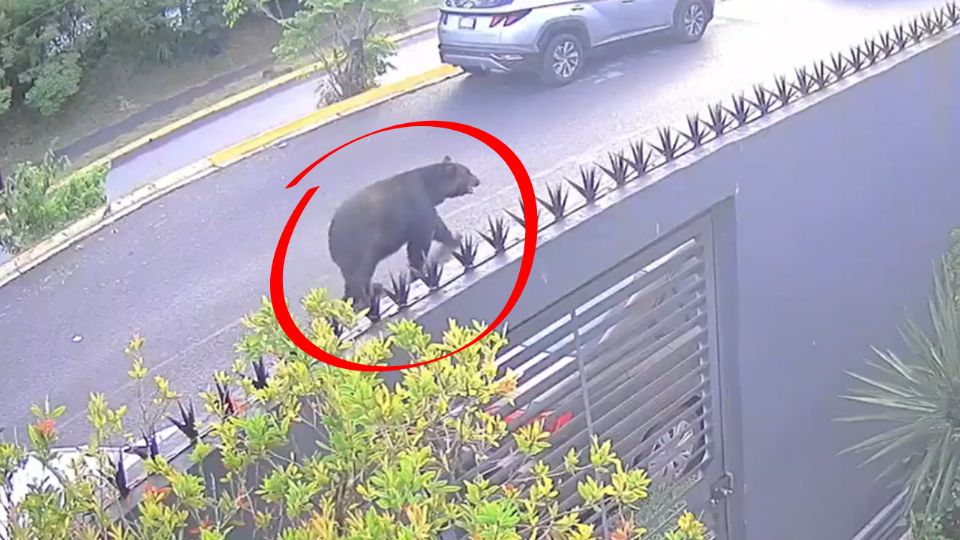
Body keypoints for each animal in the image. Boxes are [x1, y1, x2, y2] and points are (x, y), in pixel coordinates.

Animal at [328, 154, 480, 310]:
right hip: (359, 243)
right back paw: (366, 298)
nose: (477, 180)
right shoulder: (417, 206)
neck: (430, 188)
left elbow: (438, 226)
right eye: (468, 172)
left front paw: (455, 237)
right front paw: (417, 272)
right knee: (359, 273)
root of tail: (331, 233)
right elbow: (419, 242)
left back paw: (368, 291)